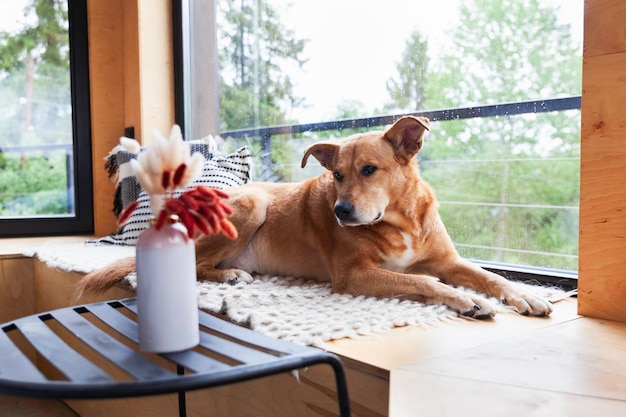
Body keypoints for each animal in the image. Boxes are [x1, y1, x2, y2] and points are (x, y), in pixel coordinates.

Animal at [78, 115, 552, 316]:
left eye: (369, 170)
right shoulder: (354, 275)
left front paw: (523, 295)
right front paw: (465, 299)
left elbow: (488, 276)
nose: (341, 211)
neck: (399, 222)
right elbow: (424, 282)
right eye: (337, 175)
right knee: (195, 265)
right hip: (252, 204)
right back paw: (230, 275)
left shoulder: (449, 261)